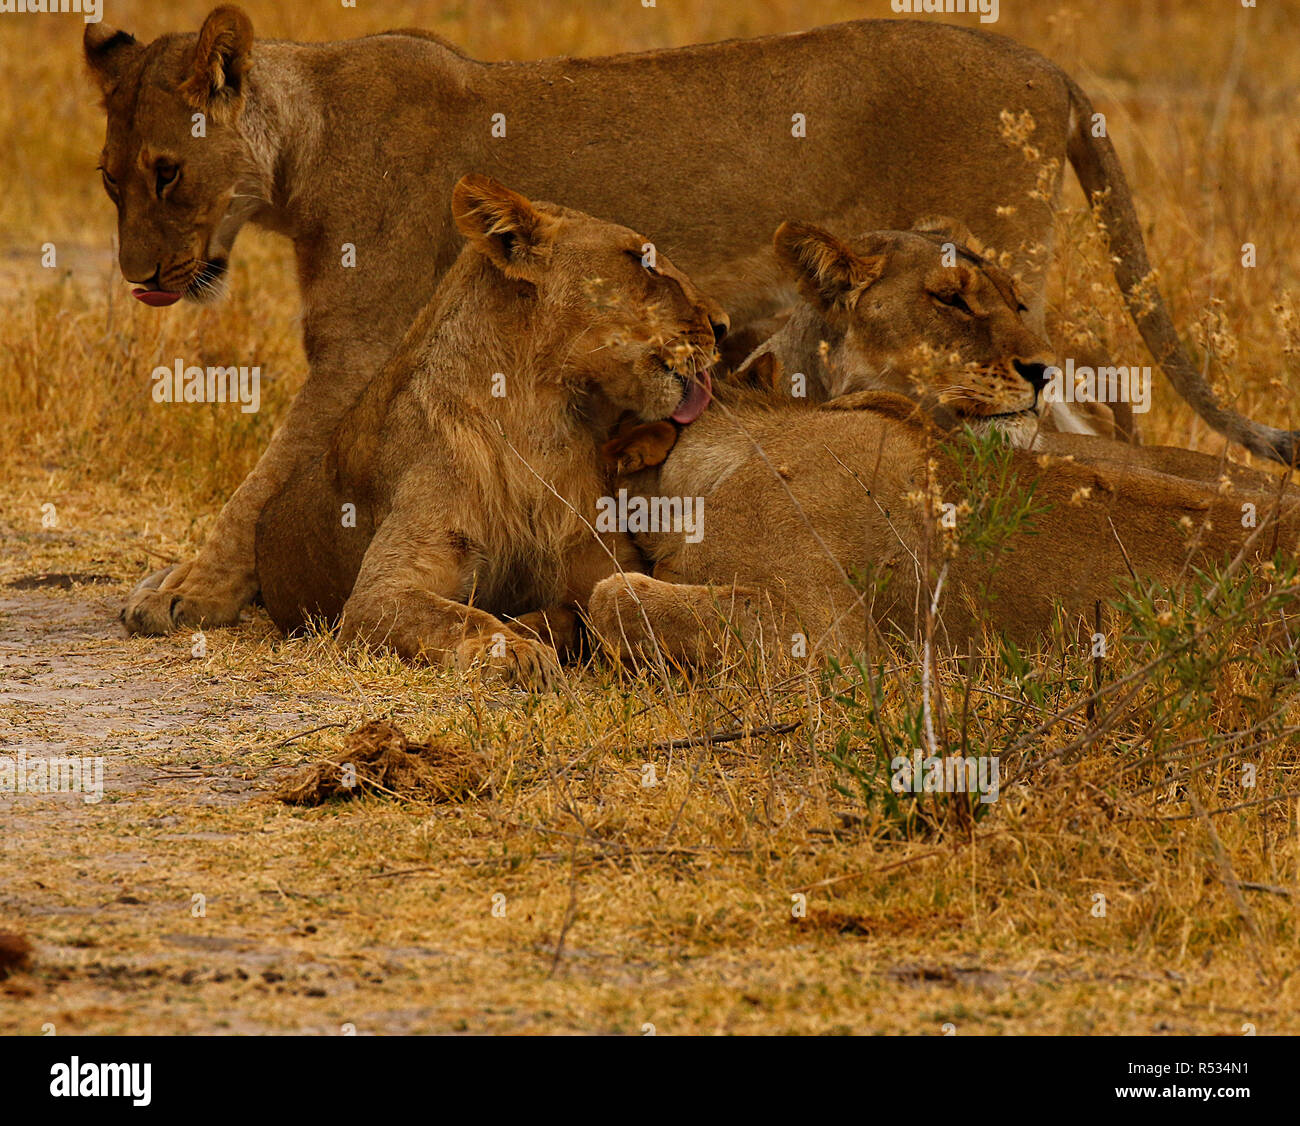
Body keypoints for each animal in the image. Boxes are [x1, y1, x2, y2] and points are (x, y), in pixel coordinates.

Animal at [252, 175, 722, 688]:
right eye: (645, 261)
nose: (722, 325)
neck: (536, 420)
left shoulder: (600, 559)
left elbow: (586, 607)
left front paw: (533, 632)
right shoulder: (378, 594)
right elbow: (462, 617)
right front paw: (518, 651)